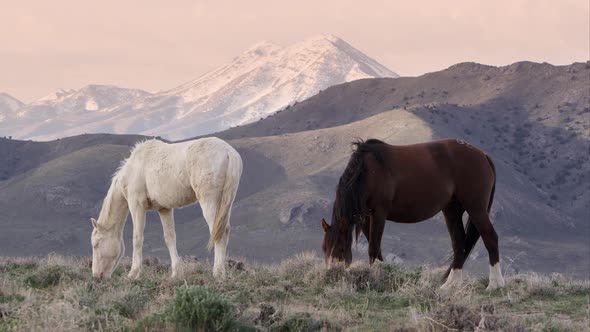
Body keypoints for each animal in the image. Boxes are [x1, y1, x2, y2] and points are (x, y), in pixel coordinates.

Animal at [91, 137, 243, 280]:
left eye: (96, 244)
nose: (96, 275)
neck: (134, 169)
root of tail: (229, 152)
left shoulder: (136, 205)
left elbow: (137, 238)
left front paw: (133, 273)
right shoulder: (164, 209)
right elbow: (169, 238)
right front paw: (176, 273)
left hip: (209, 201)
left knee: (218, 233)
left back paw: (218, 273)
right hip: (225, 203)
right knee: (225, 230)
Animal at [322, 137, 506, 288]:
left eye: (341, 248)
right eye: (324, 248)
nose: (330, 276)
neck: (368, 171)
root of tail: (483, 156)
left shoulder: (379, 214)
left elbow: (373, 248)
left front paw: (372, 278)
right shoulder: (368, 217)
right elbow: (375, 247)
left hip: (476, 208)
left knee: (490, 238)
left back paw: (495, 285)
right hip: (452, 210)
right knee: (460, 243)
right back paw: (450, 285)